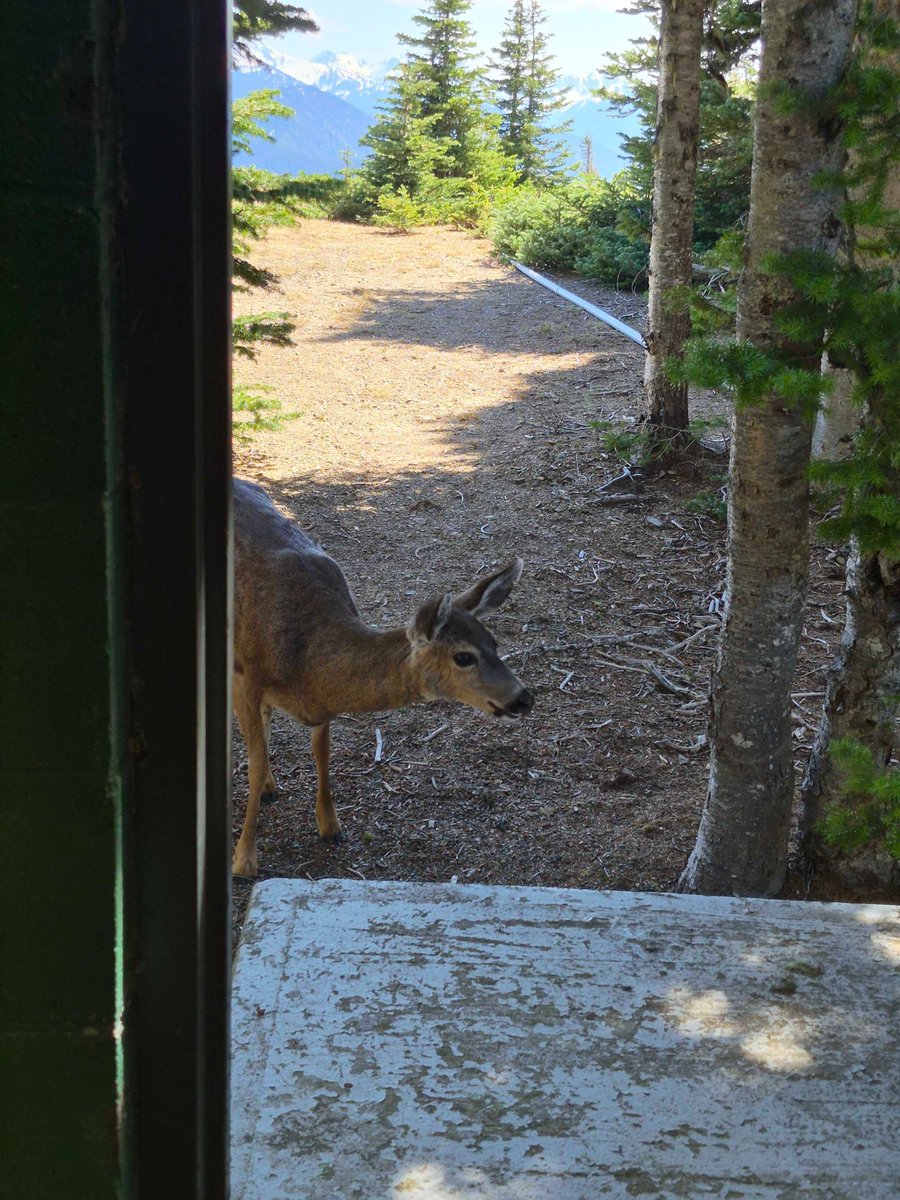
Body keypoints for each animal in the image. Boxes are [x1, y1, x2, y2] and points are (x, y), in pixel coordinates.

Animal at [232, 478, 534, 878]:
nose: (522, 698)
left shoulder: (317, 705)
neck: (306, 659)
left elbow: (320, 751)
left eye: (495, 643)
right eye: (464, 657)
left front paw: (330, 826)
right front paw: (244, 859)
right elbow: (254, 761)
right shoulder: (247, 677)